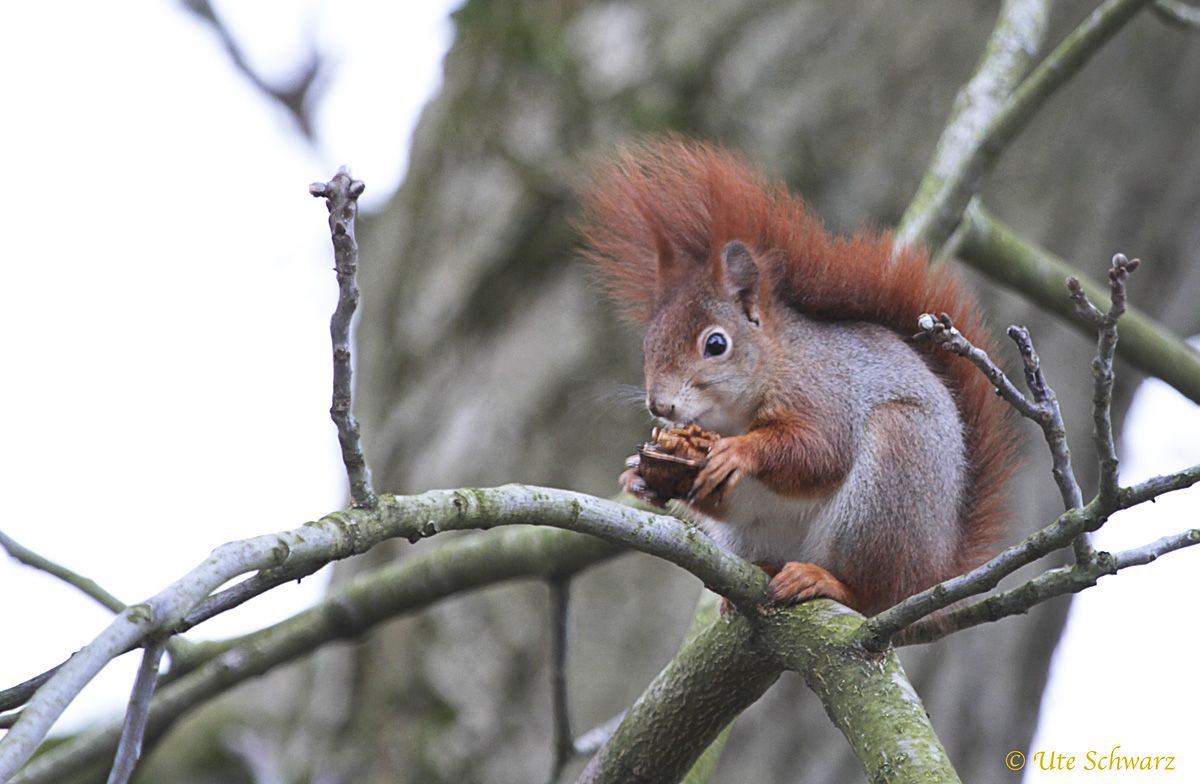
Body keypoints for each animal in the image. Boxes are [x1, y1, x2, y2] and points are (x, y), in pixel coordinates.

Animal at [578, 142, 1012, 619]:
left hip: (892, 478)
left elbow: (820, 450)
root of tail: (934, 572)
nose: (660, 405)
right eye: (647, 344)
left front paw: (738, 452)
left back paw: (826, 580)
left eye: (716, 344)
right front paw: (638, 478)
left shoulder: (822, 389)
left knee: (871, 592)